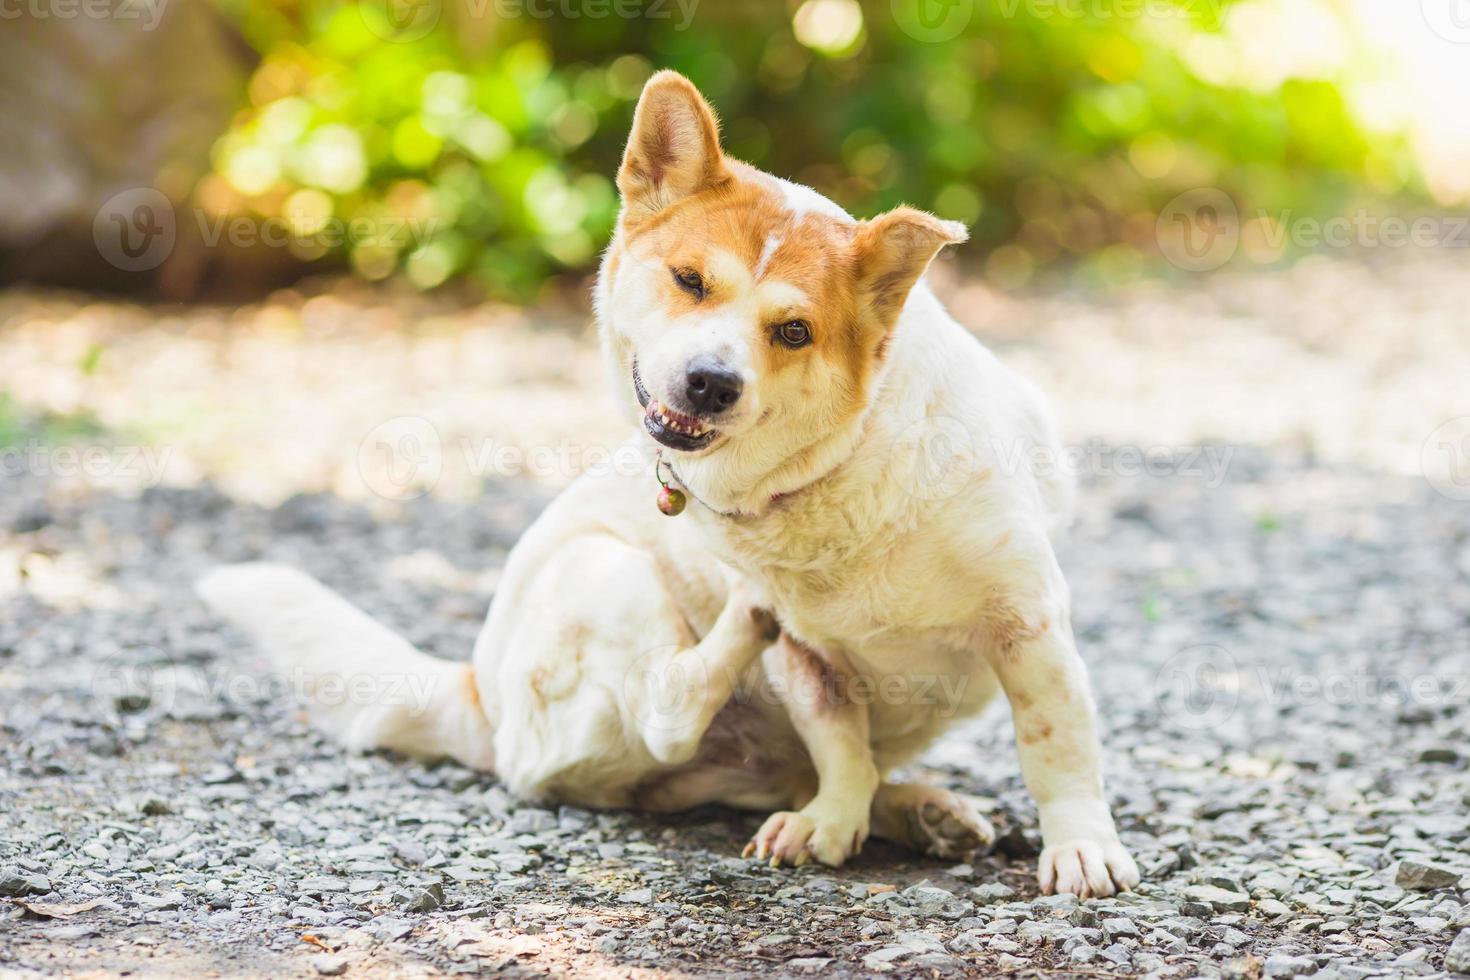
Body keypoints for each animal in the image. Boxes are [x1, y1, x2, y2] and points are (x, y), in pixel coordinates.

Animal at [198, 69, 1134, 899]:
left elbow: (1054, 743)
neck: (839, 468)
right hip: (606, 573)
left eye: (793, 331)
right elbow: (839, 743)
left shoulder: (1028, 622)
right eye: (690, 281)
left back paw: (918, 810)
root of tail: (477, 697)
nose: (710, 383)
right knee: (669, 708)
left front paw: (1079, 847)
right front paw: (834, 820)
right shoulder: (808, 662)